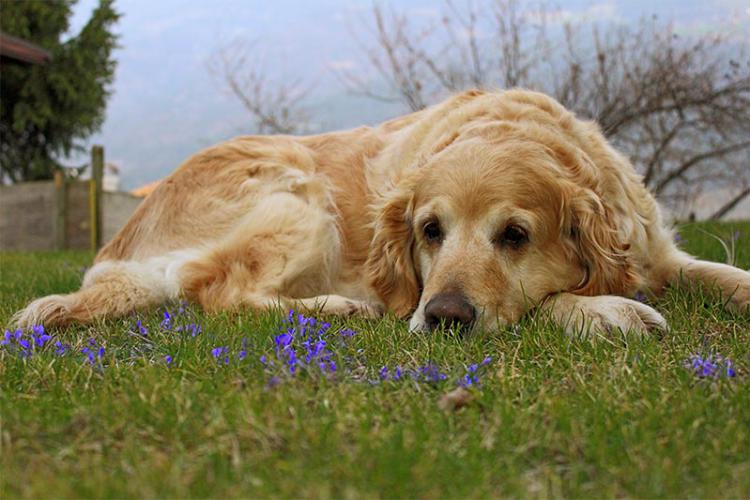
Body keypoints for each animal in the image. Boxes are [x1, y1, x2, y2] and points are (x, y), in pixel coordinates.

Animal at [11, 92, 750, 338]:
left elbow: (724, 276)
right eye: (430, 231)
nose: (443, 318)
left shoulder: (659, 251)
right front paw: (610, 312)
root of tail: (121, 242)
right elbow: (545, 299)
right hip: (299, 191)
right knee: (214, 288)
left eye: (515, 235)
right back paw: (339, 308)